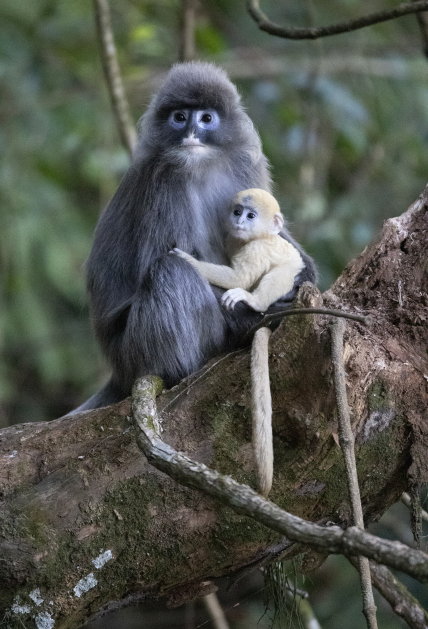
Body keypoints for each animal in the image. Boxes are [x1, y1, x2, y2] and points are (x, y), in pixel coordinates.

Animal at [171, 188, 304, 312]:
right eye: (237, 212)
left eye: (250, 216)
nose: (239, 221)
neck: (261, 236)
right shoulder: (232, 238)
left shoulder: (257, 248)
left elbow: (239, 279)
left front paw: (189, 260)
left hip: (291, 268)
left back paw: (256, 302)